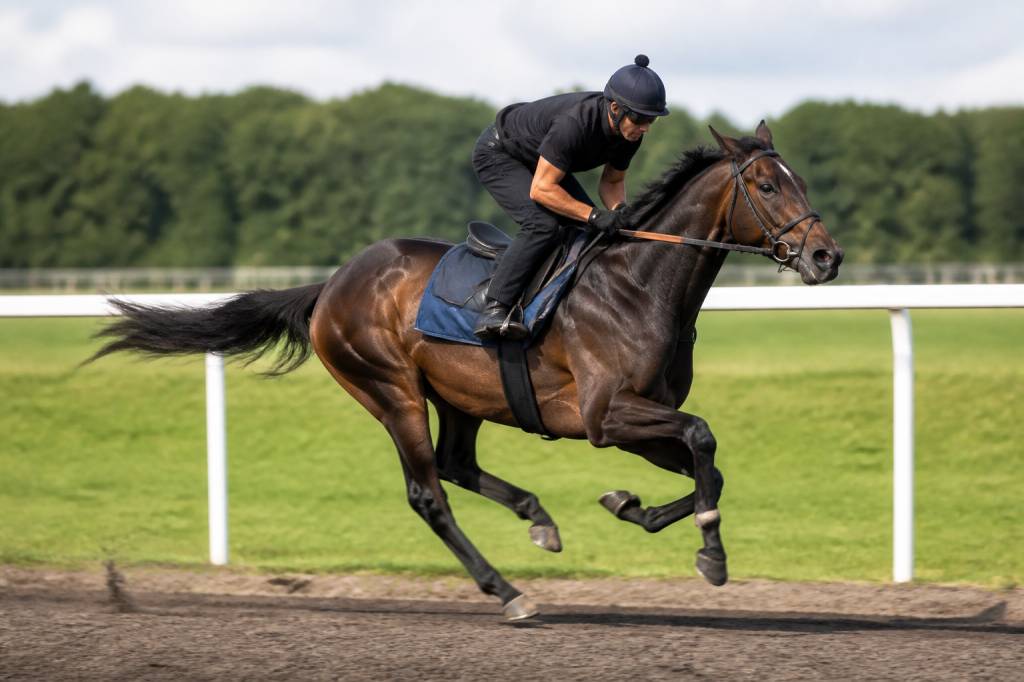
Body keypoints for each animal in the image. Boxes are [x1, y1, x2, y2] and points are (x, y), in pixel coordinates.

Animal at [90, 122, 843, 620]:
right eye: (768, 184)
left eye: (803, 180)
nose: (826, 257)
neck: (639, 283)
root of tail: (330, 286)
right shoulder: (605, 415)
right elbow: (704, 438)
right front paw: (709, 554)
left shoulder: (633, 424)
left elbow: (704, 466)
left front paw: (634, 508)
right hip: (391, 391)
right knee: (429, 493)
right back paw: (505, 591)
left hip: (458, 394)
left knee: (456, 464)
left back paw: (539, 519)